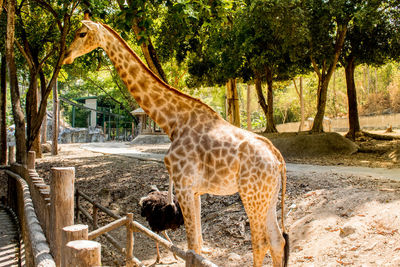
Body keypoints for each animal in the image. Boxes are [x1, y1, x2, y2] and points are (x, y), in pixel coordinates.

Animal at [65, 14, 290, 267]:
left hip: (251, 194)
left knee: (260, 243)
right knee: (277, 240)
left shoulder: (184, 185)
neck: (173, 122)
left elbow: (193, 246)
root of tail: (277, 158)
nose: (66, 55)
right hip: (268, 195)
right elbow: (199, 243)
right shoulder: (196, 191)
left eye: (81, 33)